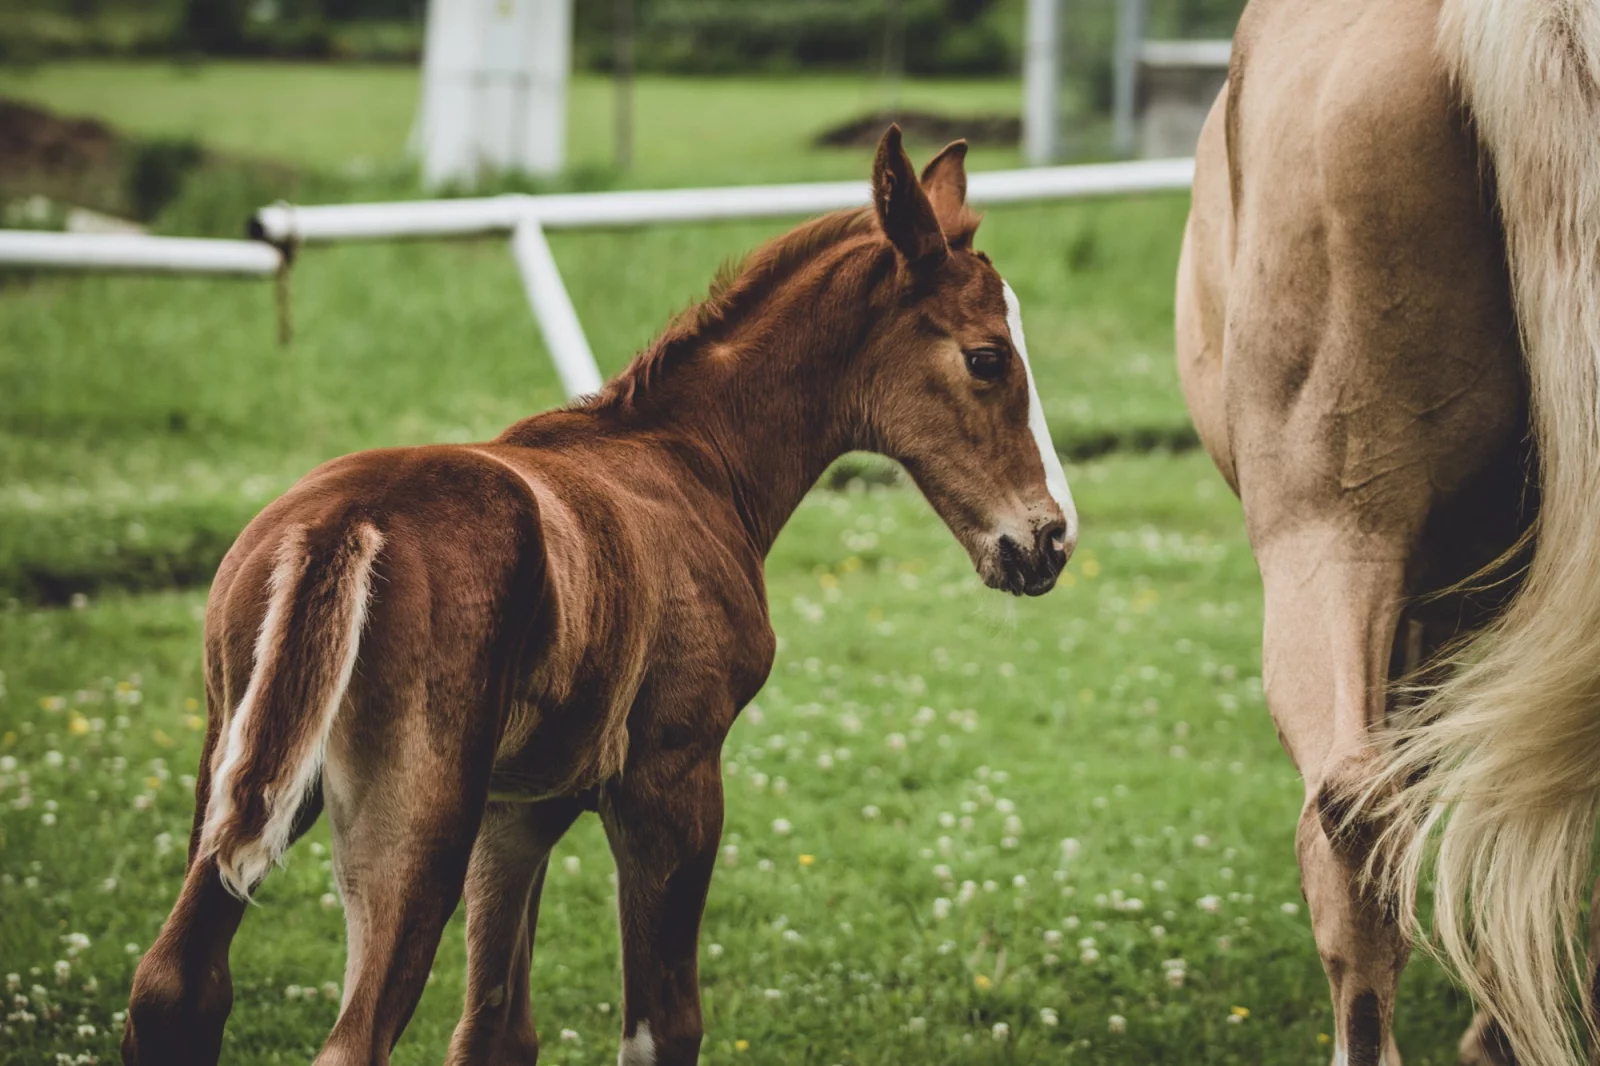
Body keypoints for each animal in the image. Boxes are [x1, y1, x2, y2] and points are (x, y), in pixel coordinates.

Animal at [121, 128, 1075, 1062]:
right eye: (987, 358)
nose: (1052, 539)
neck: (690, 458)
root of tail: (346, 527)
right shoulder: (672, 774)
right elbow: (664, 1025)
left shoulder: (519, 809)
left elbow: (496, 1030)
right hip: (417, 820)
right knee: (352, 1038)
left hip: (244, 776)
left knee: (175, 989)